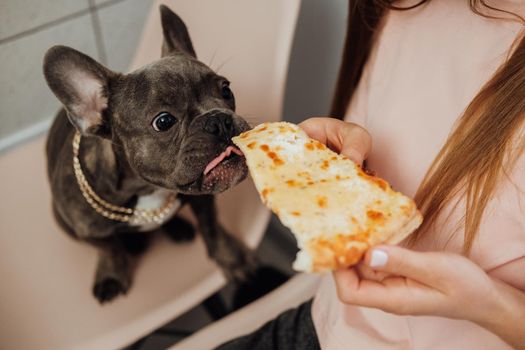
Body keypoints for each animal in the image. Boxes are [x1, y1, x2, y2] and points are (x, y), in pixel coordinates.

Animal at [43, 4, 258, 304]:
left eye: (225, 89)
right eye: (164, 121)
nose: (219, 120)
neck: (147, 189)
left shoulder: (204, 200)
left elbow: (212, 227)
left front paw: (232, 260)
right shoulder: (87, 230)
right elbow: (109, 249)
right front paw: (112, 275)